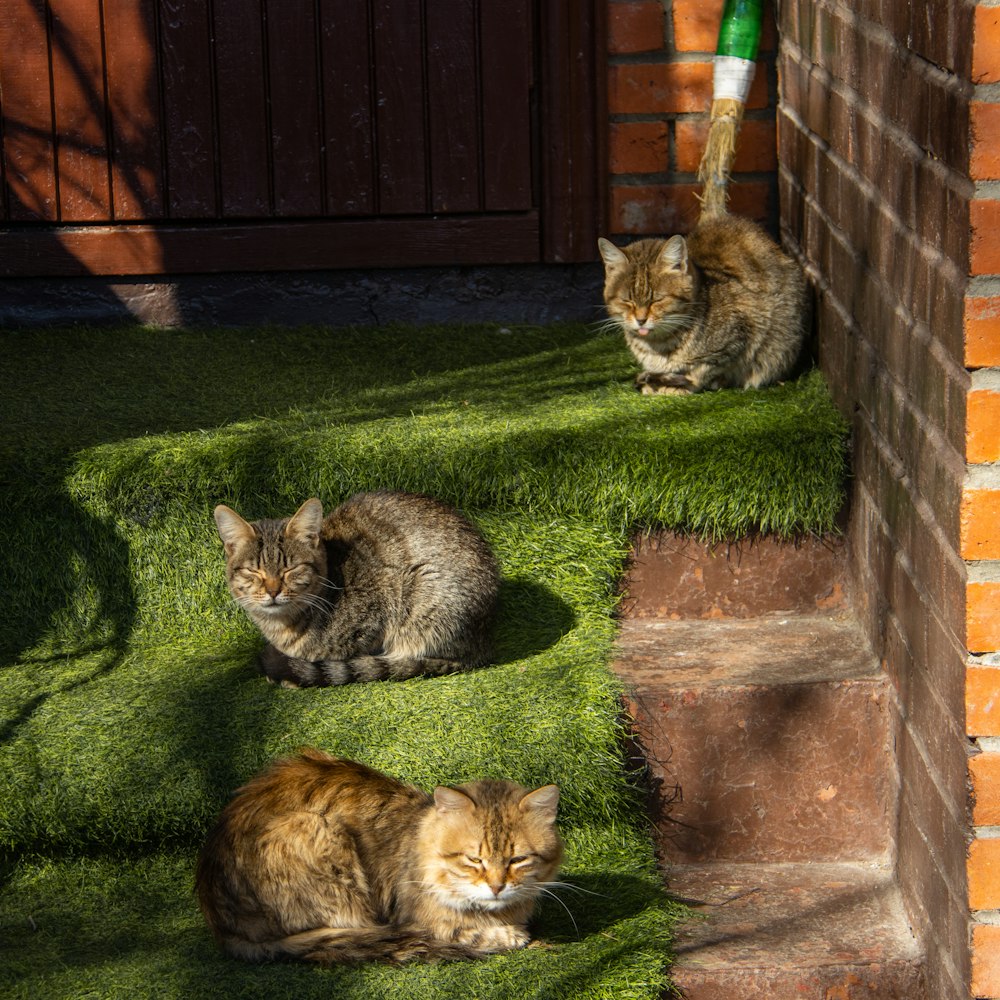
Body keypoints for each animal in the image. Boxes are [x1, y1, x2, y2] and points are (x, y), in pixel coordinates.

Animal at [195, 752, 564, 964]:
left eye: (517, 860)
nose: (497, 887)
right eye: (474, 860)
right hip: (317, 830)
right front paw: (509, 935)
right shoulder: (413, 918)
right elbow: (461, 931)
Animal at [596, 213, 808, 392]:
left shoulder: (743, 335)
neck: (657, 345)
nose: (641, 320)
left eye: (658, 299)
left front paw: (681, 384)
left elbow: (704, 368)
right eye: (627, 301)